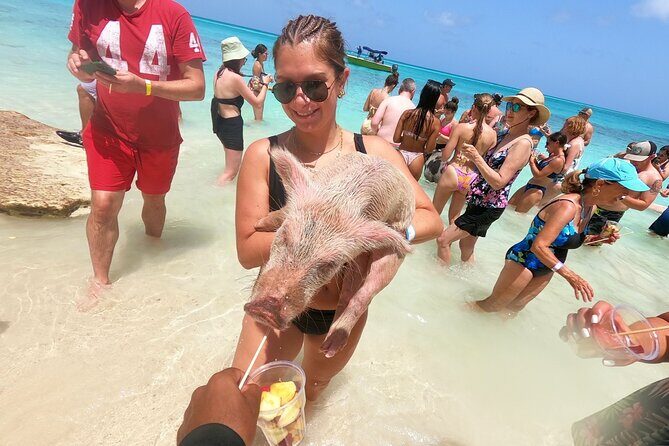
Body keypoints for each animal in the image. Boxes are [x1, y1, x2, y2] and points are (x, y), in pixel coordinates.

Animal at [244, 147, 415, 357]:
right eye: (284, 236)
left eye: (330, 264)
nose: (266, 311)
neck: (339, 199)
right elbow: (281, 213)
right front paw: (260, 224)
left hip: (394, 248)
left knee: (364, 293)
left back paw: (329, 348)